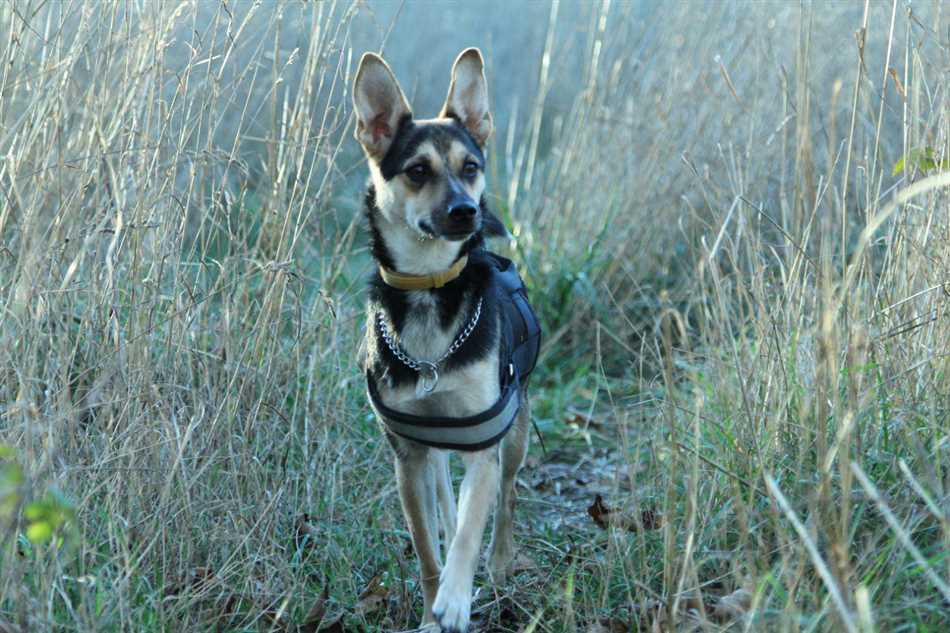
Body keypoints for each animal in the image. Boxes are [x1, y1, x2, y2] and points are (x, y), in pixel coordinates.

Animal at [352, 47, 544, 628]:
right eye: (418, 171)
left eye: (471, 167)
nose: (467, 212)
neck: (429, 288)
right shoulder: (408, 457)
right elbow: (426, 548)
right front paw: (432, 612)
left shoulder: (483, 445)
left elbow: (468, 529)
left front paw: (457, 598)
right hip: (433, 449)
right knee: (443, 499)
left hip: (515, 435)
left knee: (506, 499)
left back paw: (500, 564)